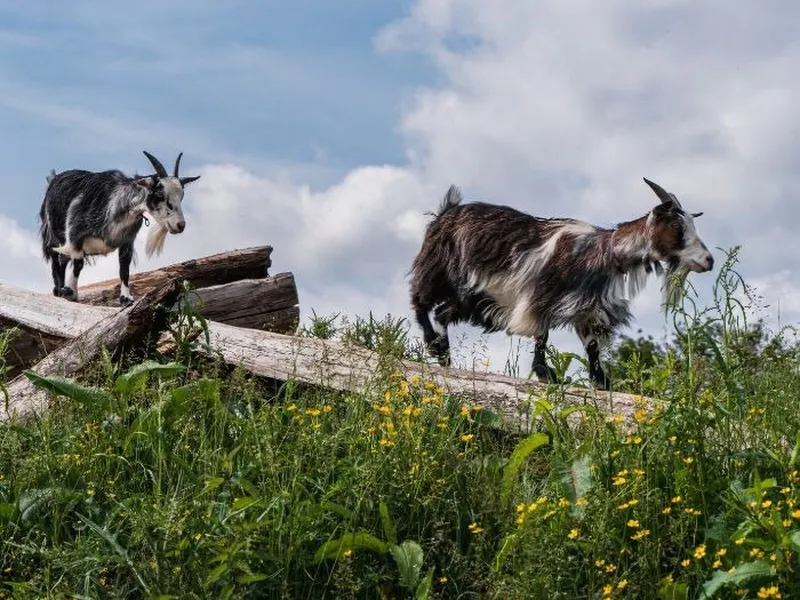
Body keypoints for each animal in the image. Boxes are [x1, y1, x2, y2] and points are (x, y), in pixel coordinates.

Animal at [38, 150, 201, 306]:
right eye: (160, 193)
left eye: (182, 195)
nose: (180, 225)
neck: (115, 205)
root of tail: (53, 179)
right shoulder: (75, 236)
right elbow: (78, 264)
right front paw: (71, 292)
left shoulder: (127, 242)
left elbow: (124, 270)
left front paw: (126, 298)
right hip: (54, 235)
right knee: (56, 260)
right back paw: (59, 290)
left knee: (63, 260)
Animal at [408, 178, 714, 390]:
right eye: (676, 226)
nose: (708, 260)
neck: (602, 251)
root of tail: (447, 210)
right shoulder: (541, 297)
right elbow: (541, 335)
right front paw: (546, 374)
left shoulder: (589, 309)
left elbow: (592, 346)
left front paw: (601, 382)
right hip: (436, 270)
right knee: (420, 301)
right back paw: (432, 344)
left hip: (472, 296)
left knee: (442, 313)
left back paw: (444, 356)